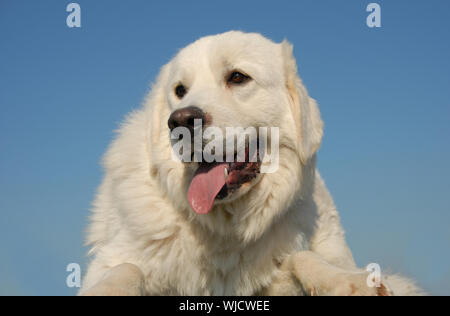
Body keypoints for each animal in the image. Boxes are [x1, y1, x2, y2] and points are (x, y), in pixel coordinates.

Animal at [81, 30, 426, 296]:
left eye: (237, 77)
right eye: (179, 91)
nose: (179, 121)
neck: (225, 228)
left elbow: (302, 258)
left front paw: (348, 281)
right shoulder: (118, 258)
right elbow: (126, 267)